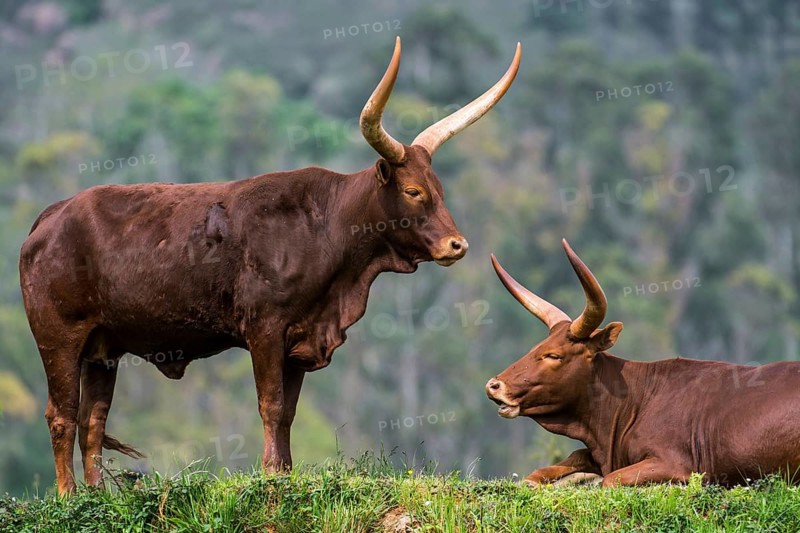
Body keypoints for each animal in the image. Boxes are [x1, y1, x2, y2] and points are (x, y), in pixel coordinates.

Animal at [20, 37, 522, 494]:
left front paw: (285, 473)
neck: (328, 227)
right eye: (414, 191)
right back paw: (68, 498)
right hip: (58, 337)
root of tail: (51, 217)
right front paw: (270, 477)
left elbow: (289, 413)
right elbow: (271, 405)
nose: (457, 245)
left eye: (440, 187)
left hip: (104, 348)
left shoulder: (301, 337)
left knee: (93, 421)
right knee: (62, 416)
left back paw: (97, 497)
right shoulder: (264, 328)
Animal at [486, 239, 800, 487]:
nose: (494, 385)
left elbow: (610, 480)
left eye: (554, 355)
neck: (635, 400)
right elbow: (544, 471)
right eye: (536, 347)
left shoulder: (674, 464)